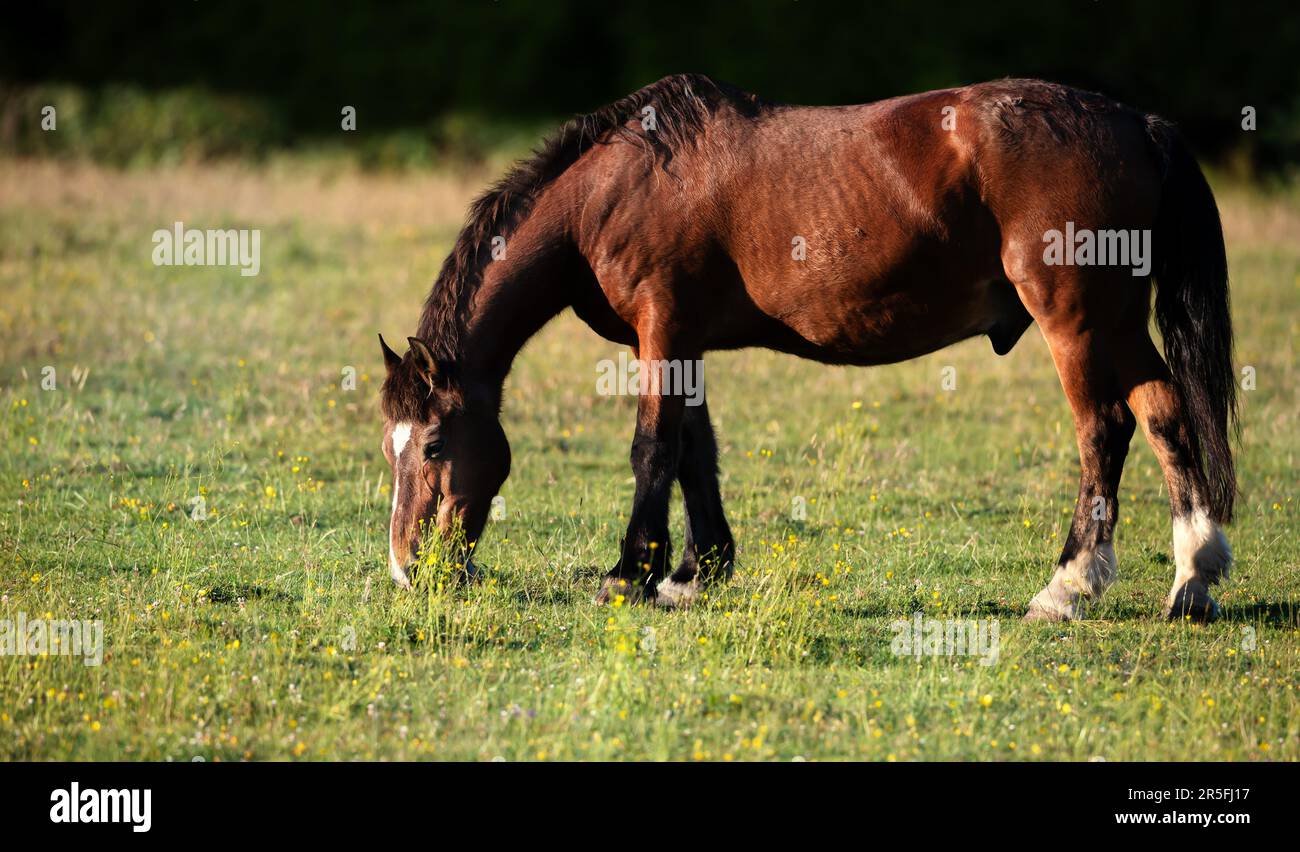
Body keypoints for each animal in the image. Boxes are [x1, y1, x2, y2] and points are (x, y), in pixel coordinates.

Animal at [379, 74, 1237, 622]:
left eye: (431, 446)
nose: (407, 569)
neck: (618, 184)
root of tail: (1138, 124)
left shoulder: (661, 330)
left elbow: (653, 447)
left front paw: (631, 574)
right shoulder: (685, 341)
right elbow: (695, 451)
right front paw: (695, 572)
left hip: (1076, 320)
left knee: (1105, 430)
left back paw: (1068, 586)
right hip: (1116, 321)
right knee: (1164, 412)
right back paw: (1193, 578)